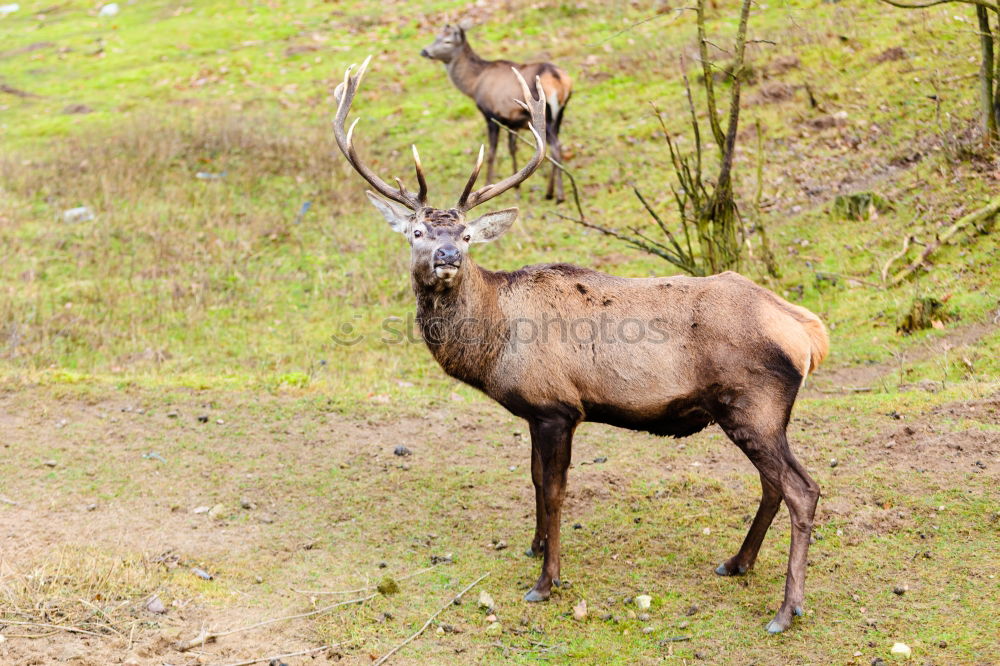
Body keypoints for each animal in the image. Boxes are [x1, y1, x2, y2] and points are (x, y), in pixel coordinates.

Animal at [420, 24, 572, 202]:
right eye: (436, 37)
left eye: (447, 41)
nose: (424, 51)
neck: (474, 85)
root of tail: (560, 80)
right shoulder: (512, 121)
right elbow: (512, 148)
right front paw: (517, 187)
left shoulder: (491, 114)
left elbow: (492, 152)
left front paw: (487, 182)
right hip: (560, 113)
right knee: (556, 144)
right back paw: (552, 191)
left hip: (546, 114)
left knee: (555, 146)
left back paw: (557, 194)